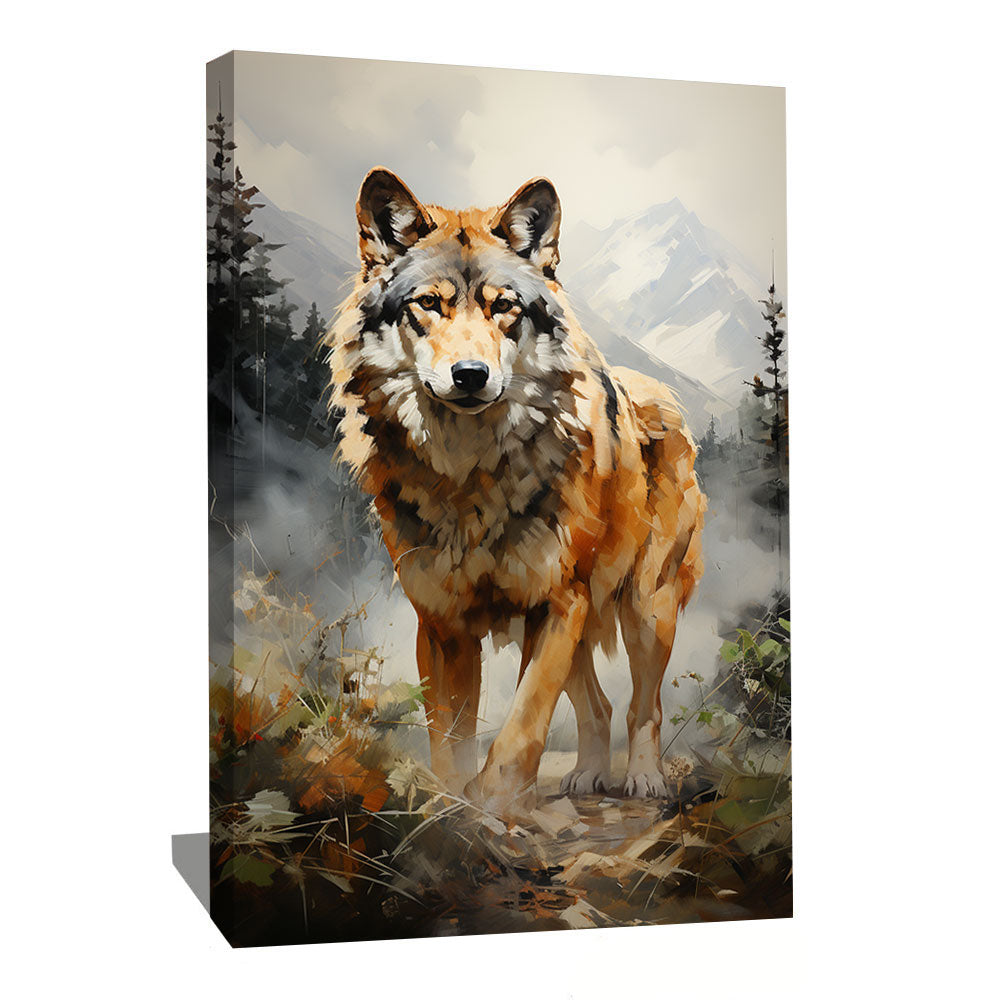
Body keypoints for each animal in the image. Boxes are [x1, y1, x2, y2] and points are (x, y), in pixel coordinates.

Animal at [326, 168, 705, 814]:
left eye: (503, 307)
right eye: (428, 304)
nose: (470, 375)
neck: (470, 475)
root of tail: (652, 390)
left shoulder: (556, 604)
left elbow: (524, 721)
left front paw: (497, 803)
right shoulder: (443, 623)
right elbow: (449, 735)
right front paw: (453, 810)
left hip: (645, 608)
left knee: (644, 706)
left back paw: (644, 780)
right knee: (600, 706)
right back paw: (587, 776)